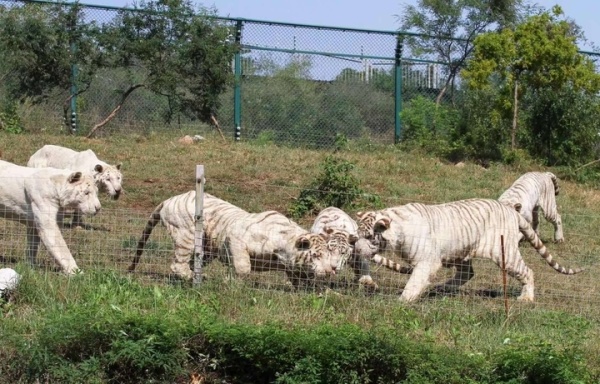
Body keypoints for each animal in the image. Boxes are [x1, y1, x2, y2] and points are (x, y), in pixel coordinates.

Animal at [129, 190, 338, 284]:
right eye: (317, 256)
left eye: (328, 256)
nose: (330, 271)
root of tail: (169, 199)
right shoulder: (236, 238)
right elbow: (244, 267)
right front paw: (232, 279)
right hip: (186, 235)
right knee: (178, 264)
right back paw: (195, 278)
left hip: (206, 249)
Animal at [354, 198, 584, 304]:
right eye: (357, 235)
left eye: (369, 237)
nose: (356, 249)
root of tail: (512, 211)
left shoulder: (427, 261)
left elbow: (414, 281)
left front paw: (403, 301)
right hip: (461, 252)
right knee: (467, 273)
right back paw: (442, 288)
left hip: (505, 254)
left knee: (527, 272)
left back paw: (526, 298)